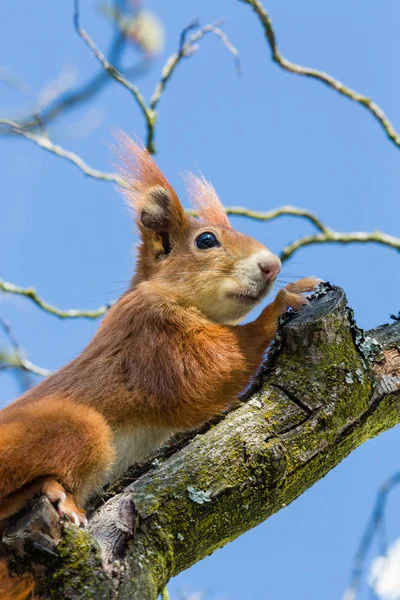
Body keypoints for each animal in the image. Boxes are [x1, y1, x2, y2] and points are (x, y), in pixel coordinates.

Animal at [0, 134, 318, 596]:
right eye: (206, 240)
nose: (272, 265)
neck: (170, 293)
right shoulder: (153, 334)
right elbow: (207, 373)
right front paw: (282, 302)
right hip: (65, 428)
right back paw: (54, 493)